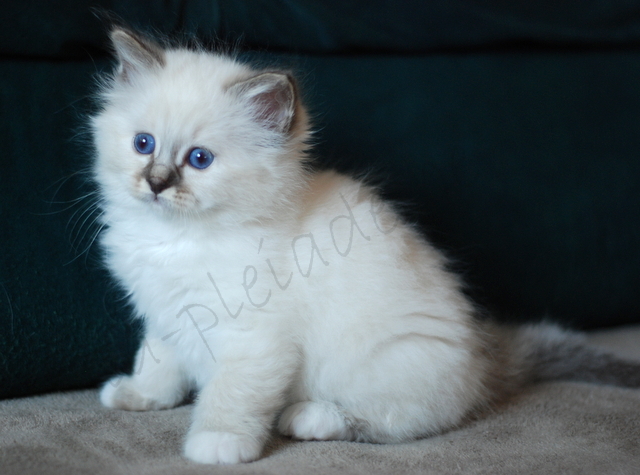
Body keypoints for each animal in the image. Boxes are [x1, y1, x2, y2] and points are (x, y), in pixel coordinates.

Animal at [94, 28, 640, 464]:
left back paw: (307, 417)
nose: (156, 183)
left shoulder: (252, 341)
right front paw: (139, 397)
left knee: (393, 423)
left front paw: (216, 445)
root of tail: (485, 358)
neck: (177, 239)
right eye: (143, 144)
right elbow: (157, 364)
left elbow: (230, 397)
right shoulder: (167, 316)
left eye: (200, 159)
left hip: (381, 366)